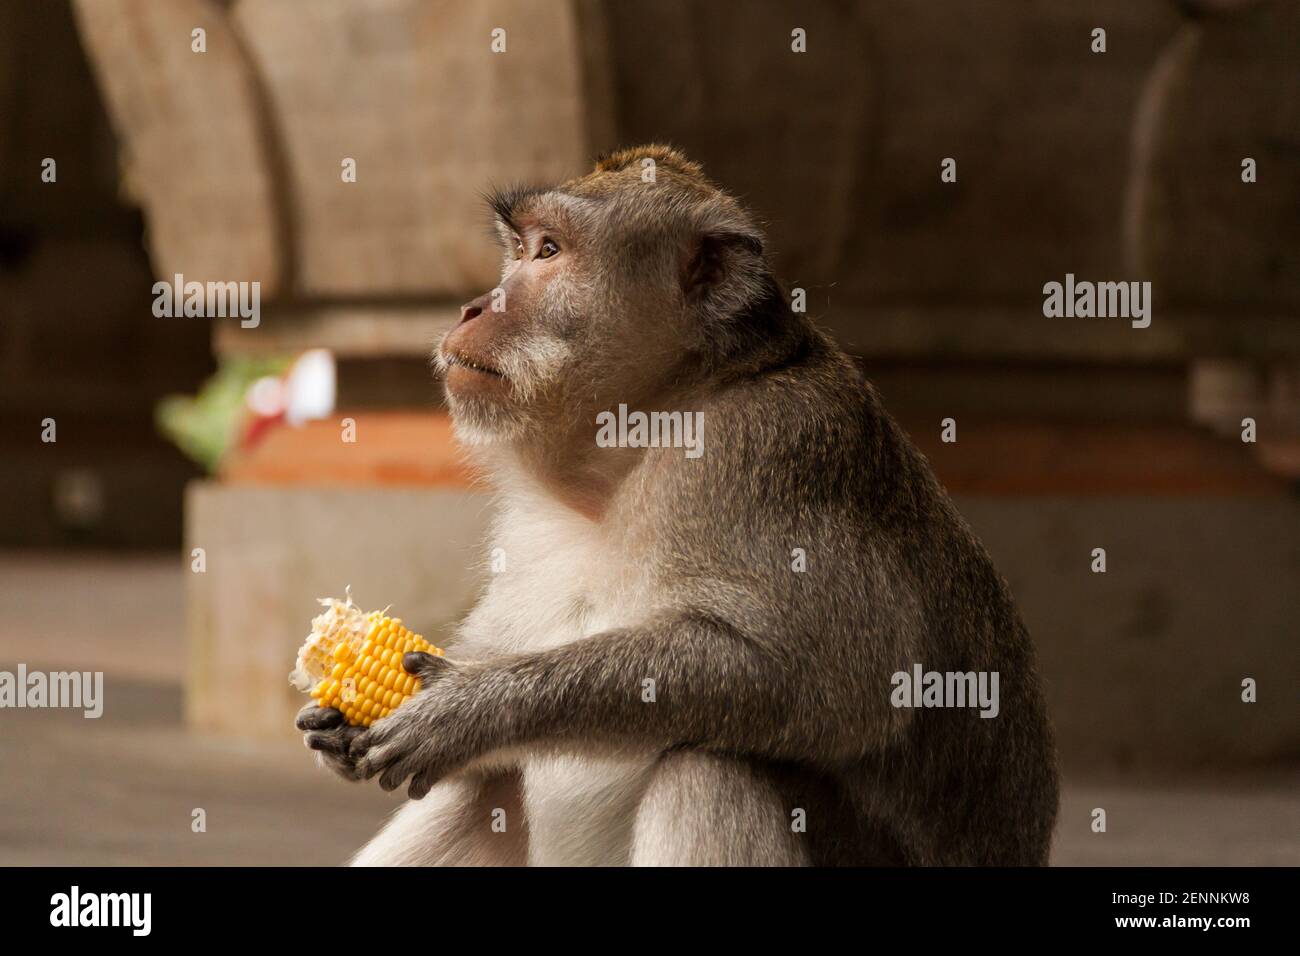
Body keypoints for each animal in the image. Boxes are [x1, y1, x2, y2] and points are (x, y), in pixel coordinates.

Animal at [295, 143, 1055, 868]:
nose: (475, 308)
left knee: (710, 765)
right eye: (520, 248)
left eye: (550, 251)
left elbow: (840, 679)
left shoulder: (764, 446)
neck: (639, 442)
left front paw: (470, 709)